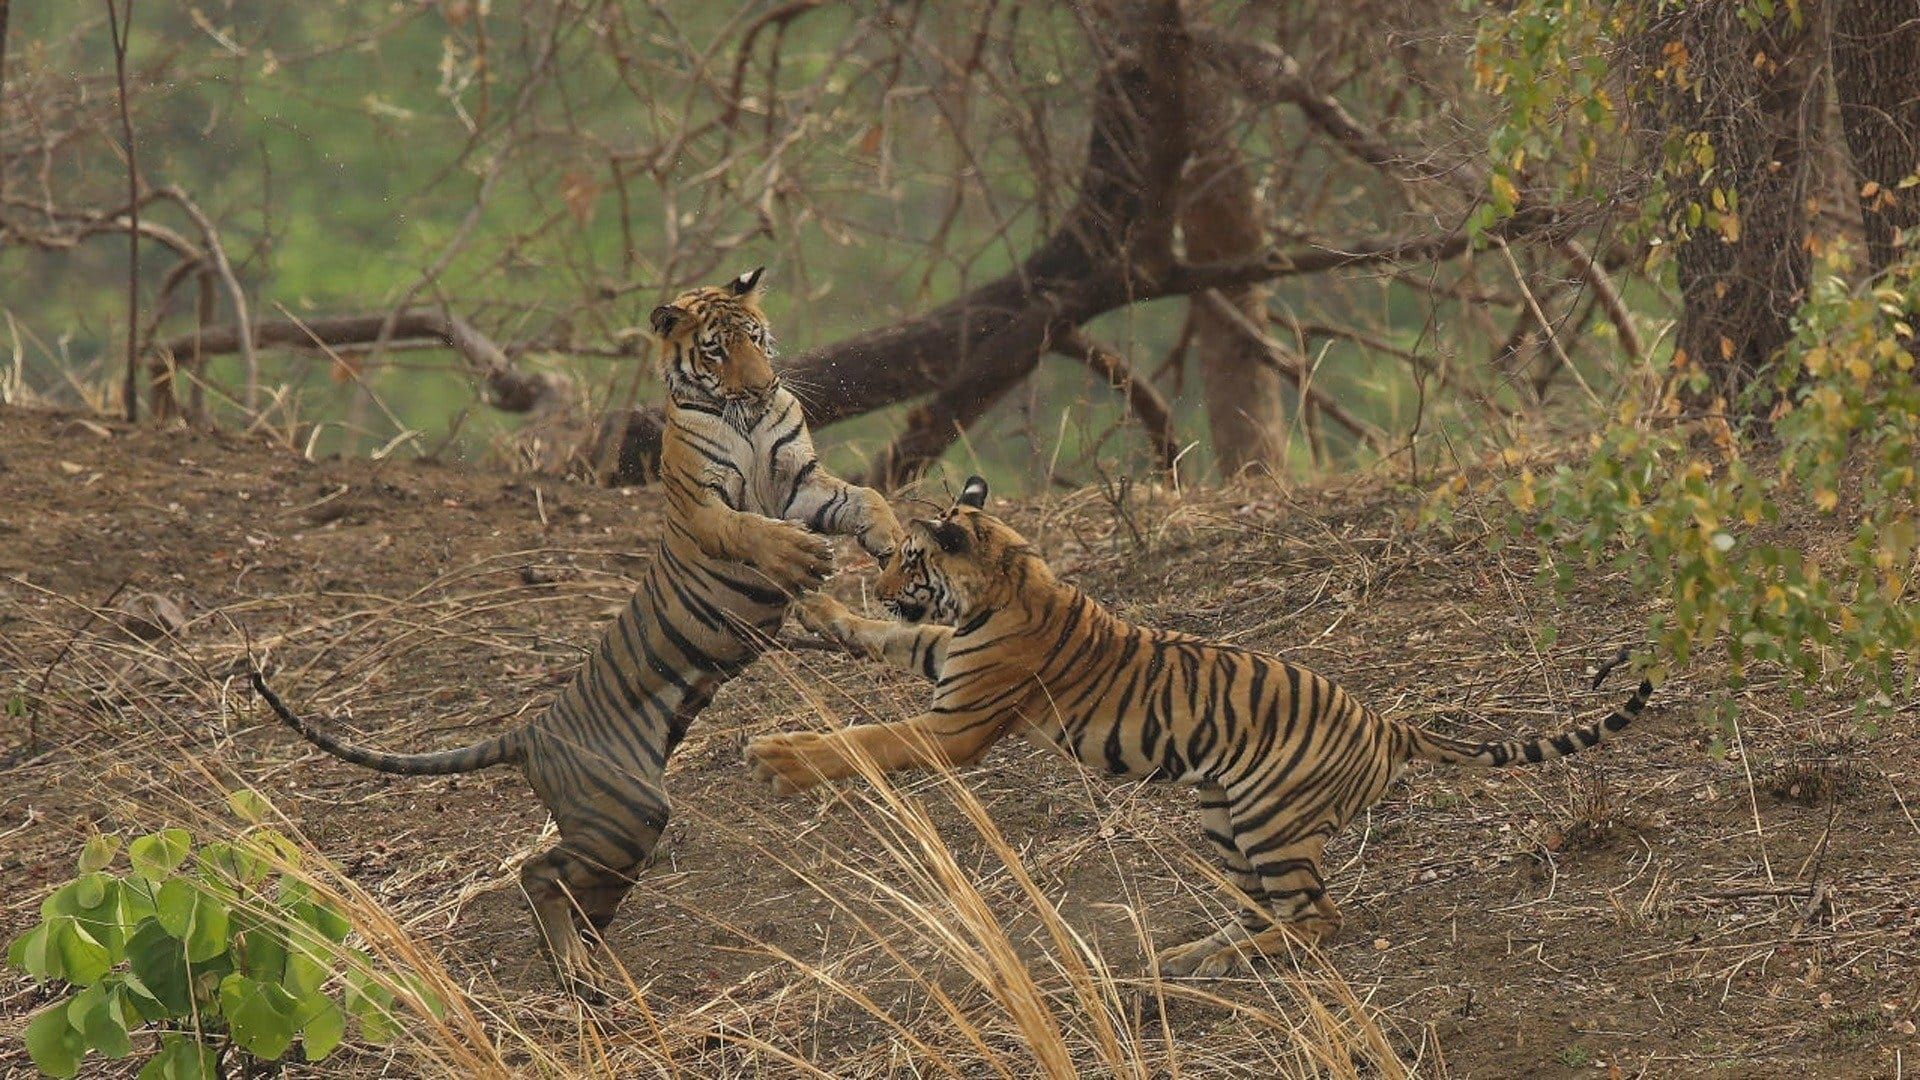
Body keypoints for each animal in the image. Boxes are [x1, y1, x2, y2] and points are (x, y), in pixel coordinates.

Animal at [251, 267, 902, 991]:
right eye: (715, 352)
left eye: (755, 339)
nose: (763, 387)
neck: (749, 420)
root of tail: (532, 731)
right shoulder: (705, 502)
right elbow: (748, 529)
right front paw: (801, 556)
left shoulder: (803, 483)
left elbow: (867, 500)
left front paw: (894, 546)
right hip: (623, 812)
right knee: (536, 873)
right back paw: (574, 969)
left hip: (619, 833)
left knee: (572, 889)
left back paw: (586, 966)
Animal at [744, 476, 1651, 976]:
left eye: (909, 558)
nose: (875, 574)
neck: (1003, 583)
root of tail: (1389, 724)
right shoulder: (947, 658)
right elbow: (892, 640)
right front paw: (823, 613)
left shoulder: (958, 722)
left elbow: (864, 743)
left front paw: (781, 758)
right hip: (1224, 816)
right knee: (1267, 912)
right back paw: (1193, 955)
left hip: (1270, 817)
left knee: (1315, 920)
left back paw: (1217, 963)